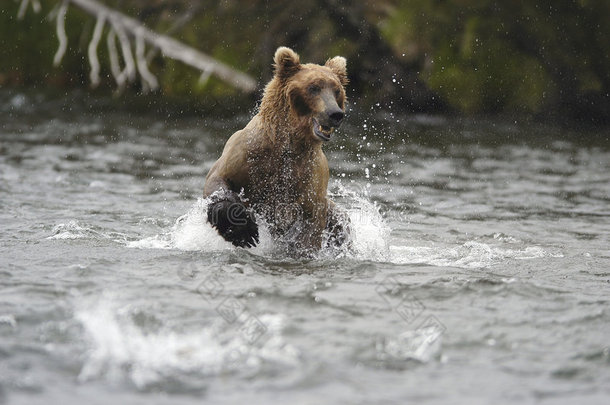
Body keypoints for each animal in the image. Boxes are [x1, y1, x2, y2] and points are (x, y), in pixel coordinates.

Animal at [203, 46, 346, 252]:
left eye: (337, 90)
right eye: (313, 87)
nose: (335, 114)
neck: (288, 144)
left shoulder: (310, 177)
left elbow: (310, 223)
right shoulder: (247, 153)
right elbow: (219, 179)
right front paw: (243, 230)